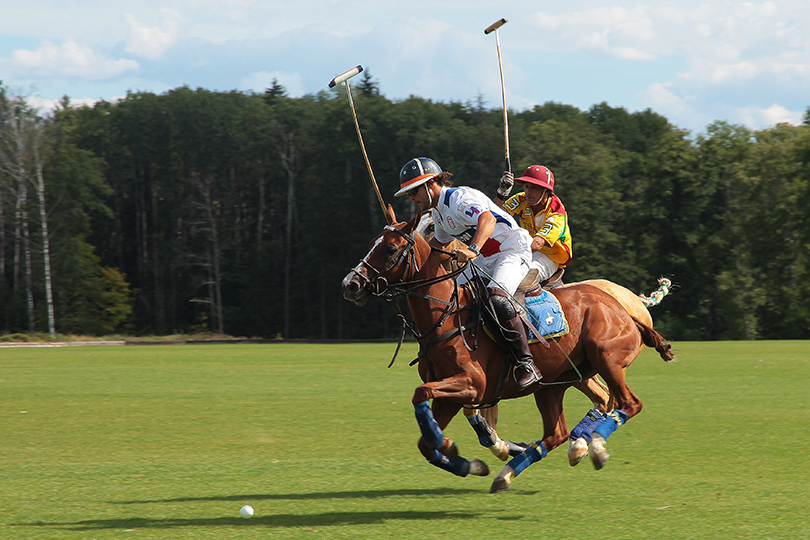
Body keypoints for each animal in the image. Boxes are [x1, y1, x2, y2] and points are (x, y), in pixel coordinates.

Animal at [342, 210, 676, 494]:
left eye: (390, 249)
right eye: (372, 244)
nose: (351, 284)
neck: (448, 315)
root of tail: (624, 305)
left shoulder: (473, 385)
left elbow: (422, 396)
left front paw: (449, 441)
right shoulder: (452, 394)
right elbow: (426, 437)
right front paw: (465, 458)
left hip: (605, 358)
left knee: (626, 402)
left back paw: (591, 445)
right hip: (554, 383)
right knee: (559, 430)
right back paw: (511, 472)